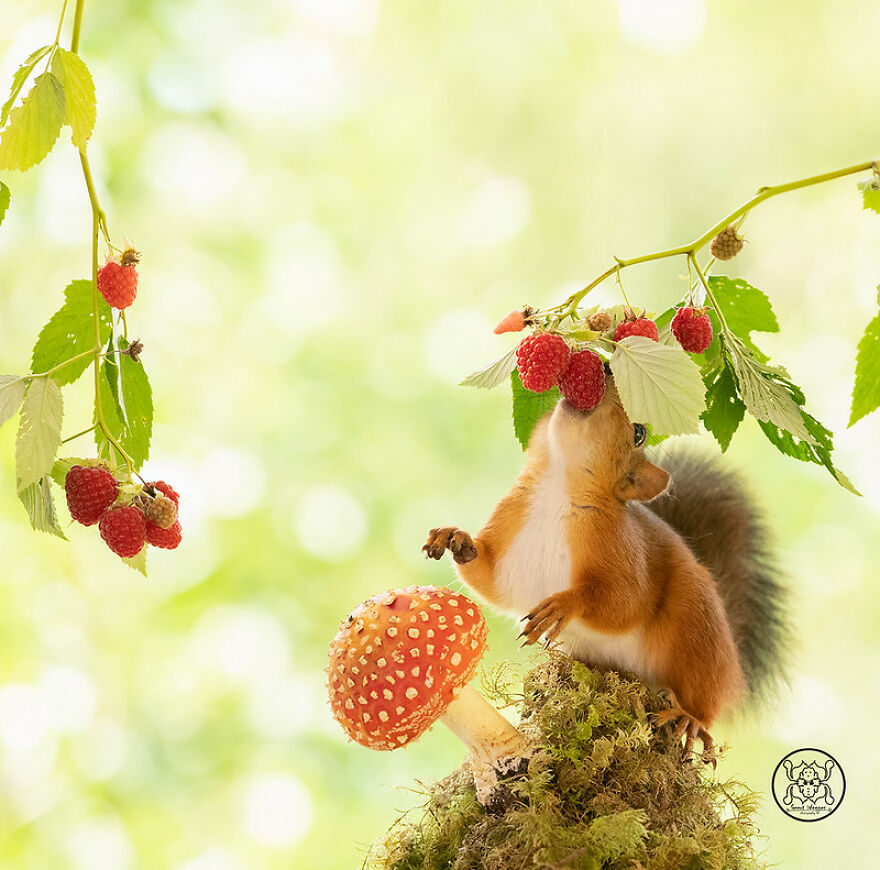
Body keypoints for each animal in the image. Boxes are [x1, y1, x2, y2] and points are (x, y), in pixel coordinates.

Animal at [423, 376, 787, 758]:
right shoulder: (510, 546)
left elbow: (625, 602)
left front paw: (564, 605)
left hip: (698, 628)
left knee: (705, 692)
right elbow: (488, 580)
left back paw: (689, 718)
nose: (605, 371)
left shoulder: (623, 549)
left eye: (639, 432)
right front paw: (456, 539)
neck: (557, 486)